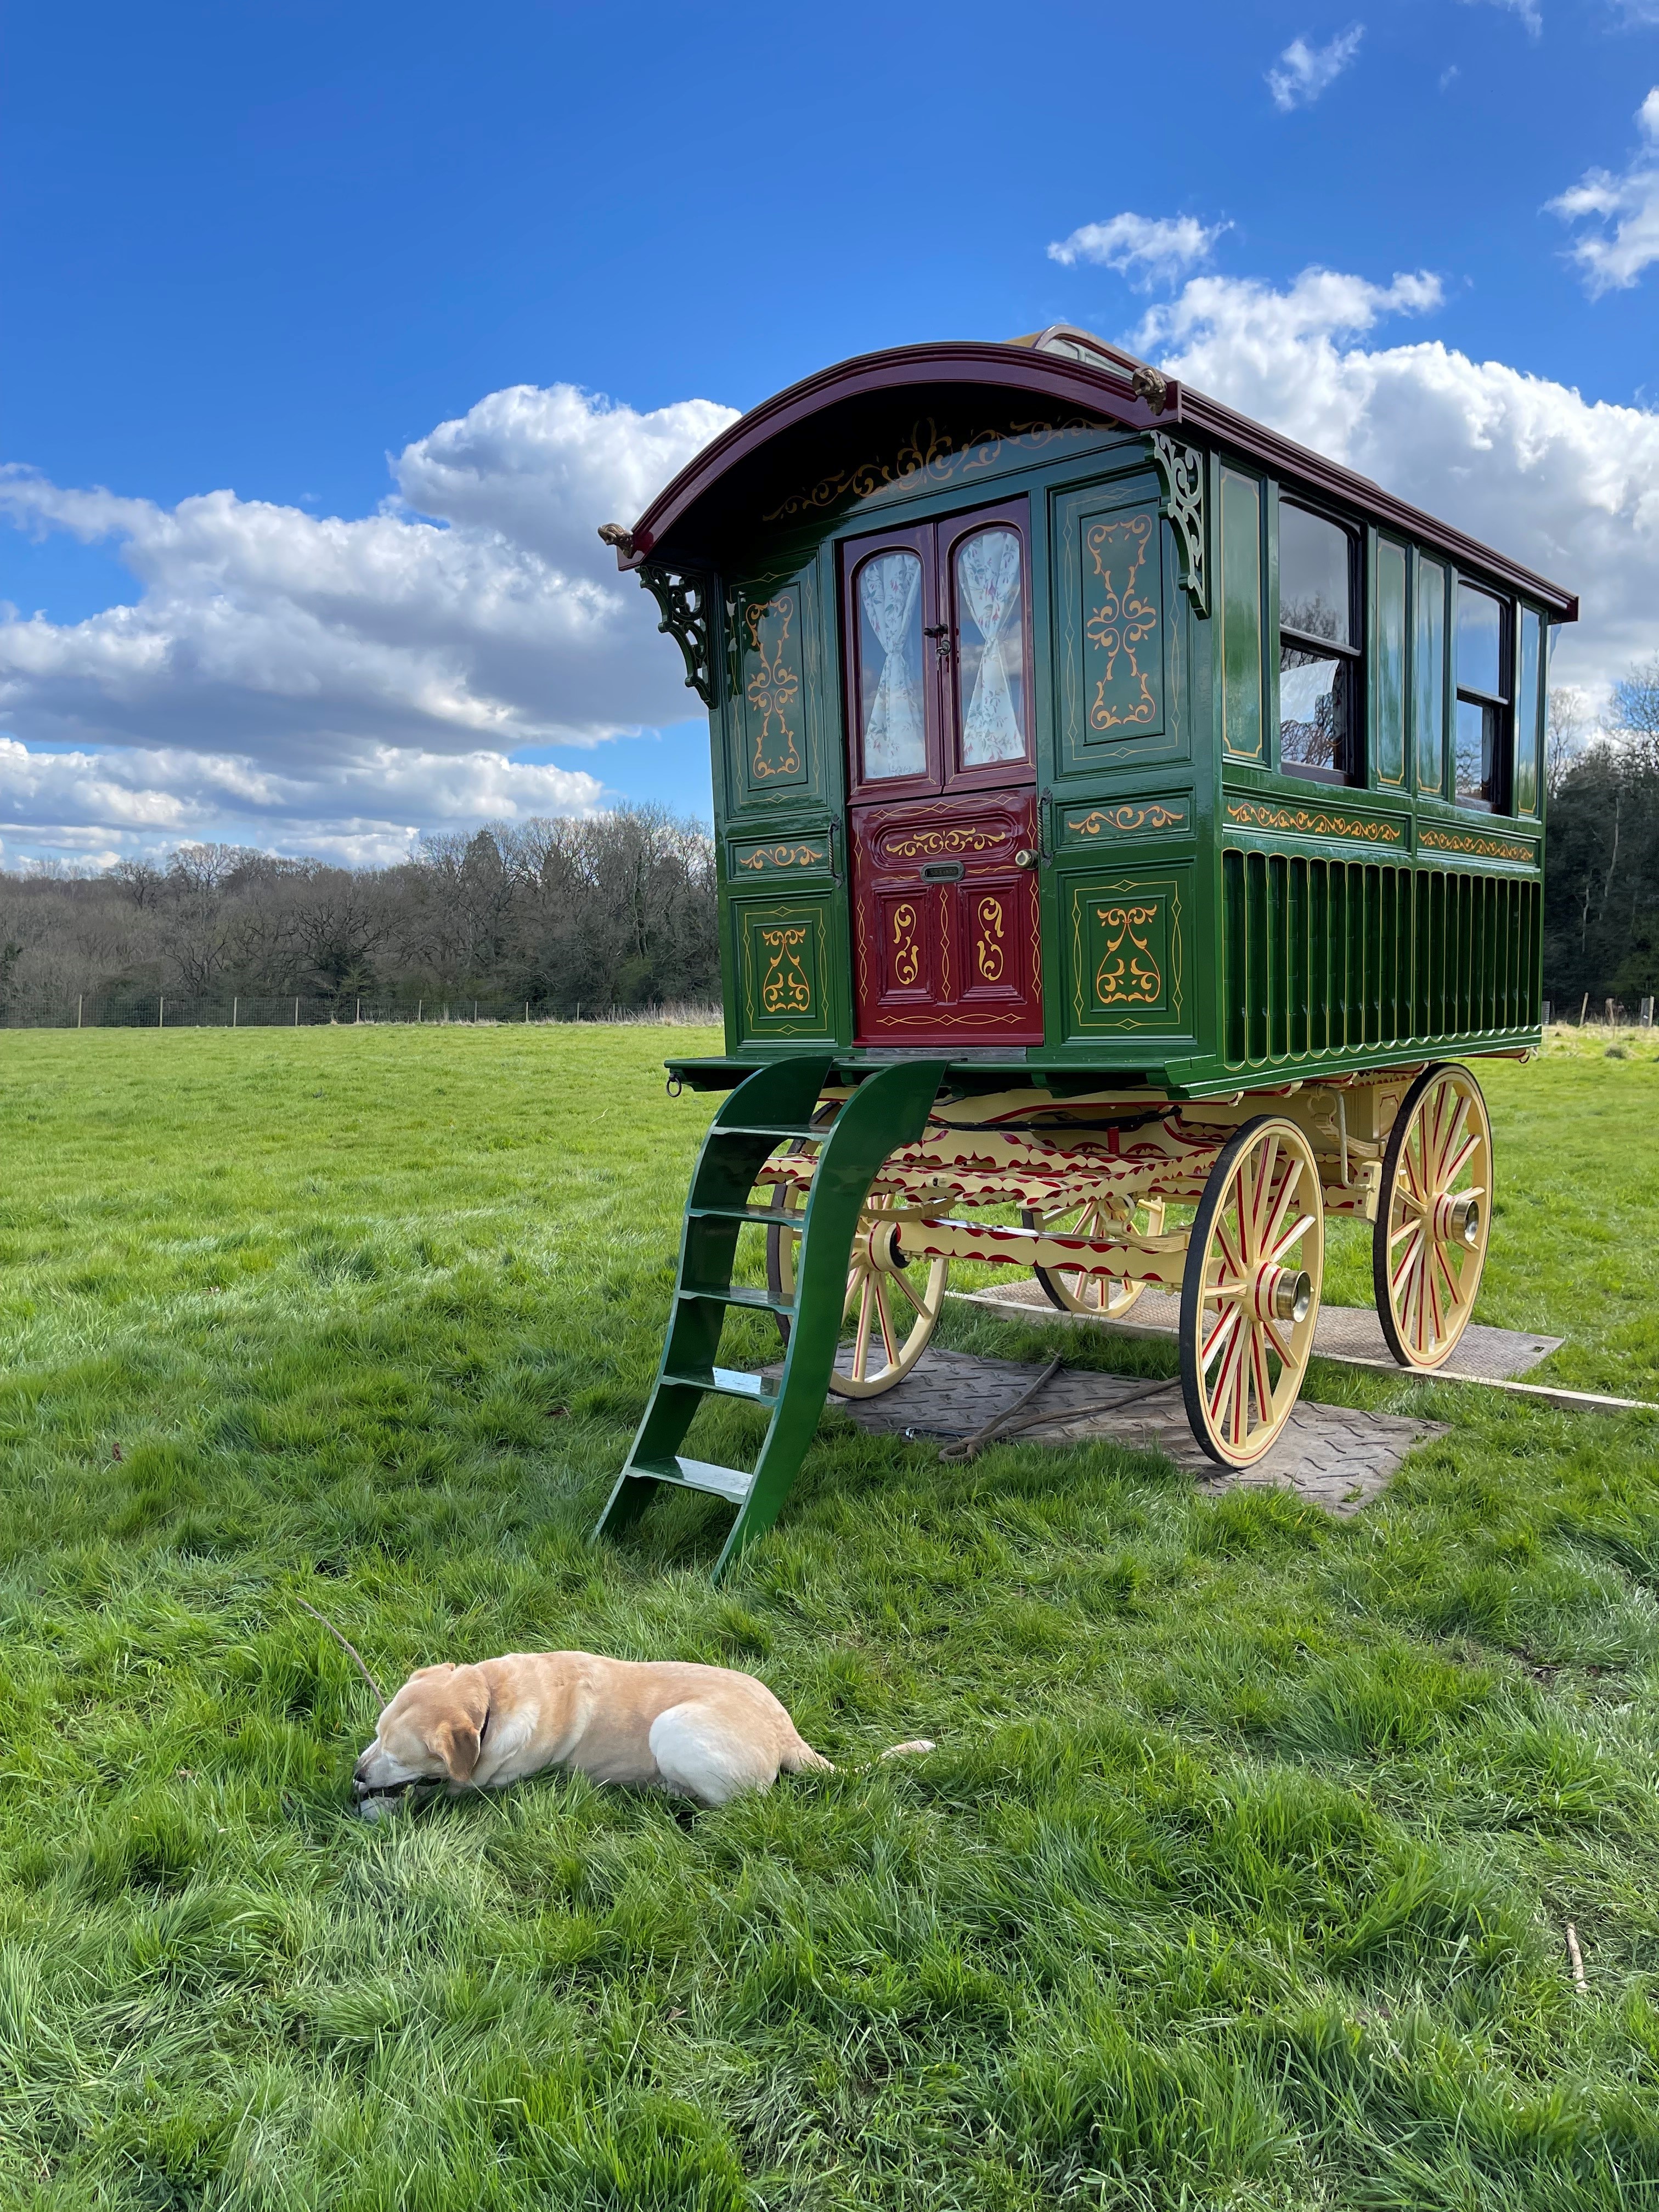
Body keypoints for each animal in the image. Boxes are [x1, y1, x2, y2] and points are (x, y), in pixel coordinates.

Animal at [352, 1654, 938, 1822]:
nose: (356, 1774)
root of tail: (786, 1731)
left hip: (673, 1728)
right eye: (376, 1734)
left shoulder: (481, 1784)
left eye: (398, 1754)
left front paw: (382, 1804)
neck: (492, 1697)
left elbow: (435, 1792)